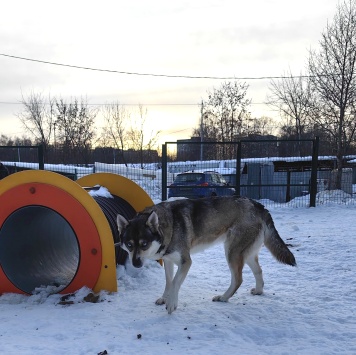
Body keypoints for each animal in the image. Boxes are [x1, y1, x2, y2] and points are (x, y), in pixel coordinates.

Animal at [116, 196, 294, 316]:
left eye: (144, 244)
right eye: (129, 245)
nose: (136, 263)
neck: (169, 226)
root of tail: (258, 205)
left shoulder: (186, 261)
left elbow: (175, 283)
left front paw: (172, 303)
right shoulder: (168, 260)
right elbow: (168, 282)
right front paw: (164, 298)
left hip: (232, 252)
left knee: (238, 279)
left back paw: (223, 297)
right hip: (246, 254)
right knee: (259, 271)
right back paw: (258, 291)